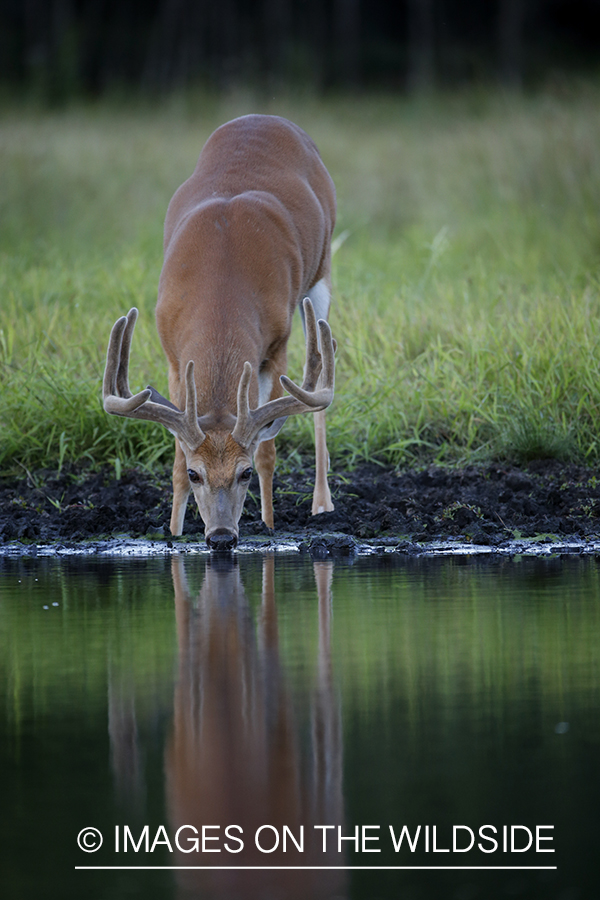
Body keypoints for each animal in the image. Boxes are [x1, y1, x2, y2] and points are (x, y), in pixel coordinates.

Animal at [103, 114, 338, 548]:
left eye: (243, 473)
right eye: (197, 474)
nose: (222, 536)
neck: (221, 285)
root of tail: (266, 117)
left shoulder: (276, 346)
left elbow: (267, 451)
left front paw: (269, 526)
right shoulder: (173, 354)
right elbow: (176, 455)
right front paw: (174, 532)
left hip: (322, 273)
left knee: (321, 374)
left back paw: (322, 503)